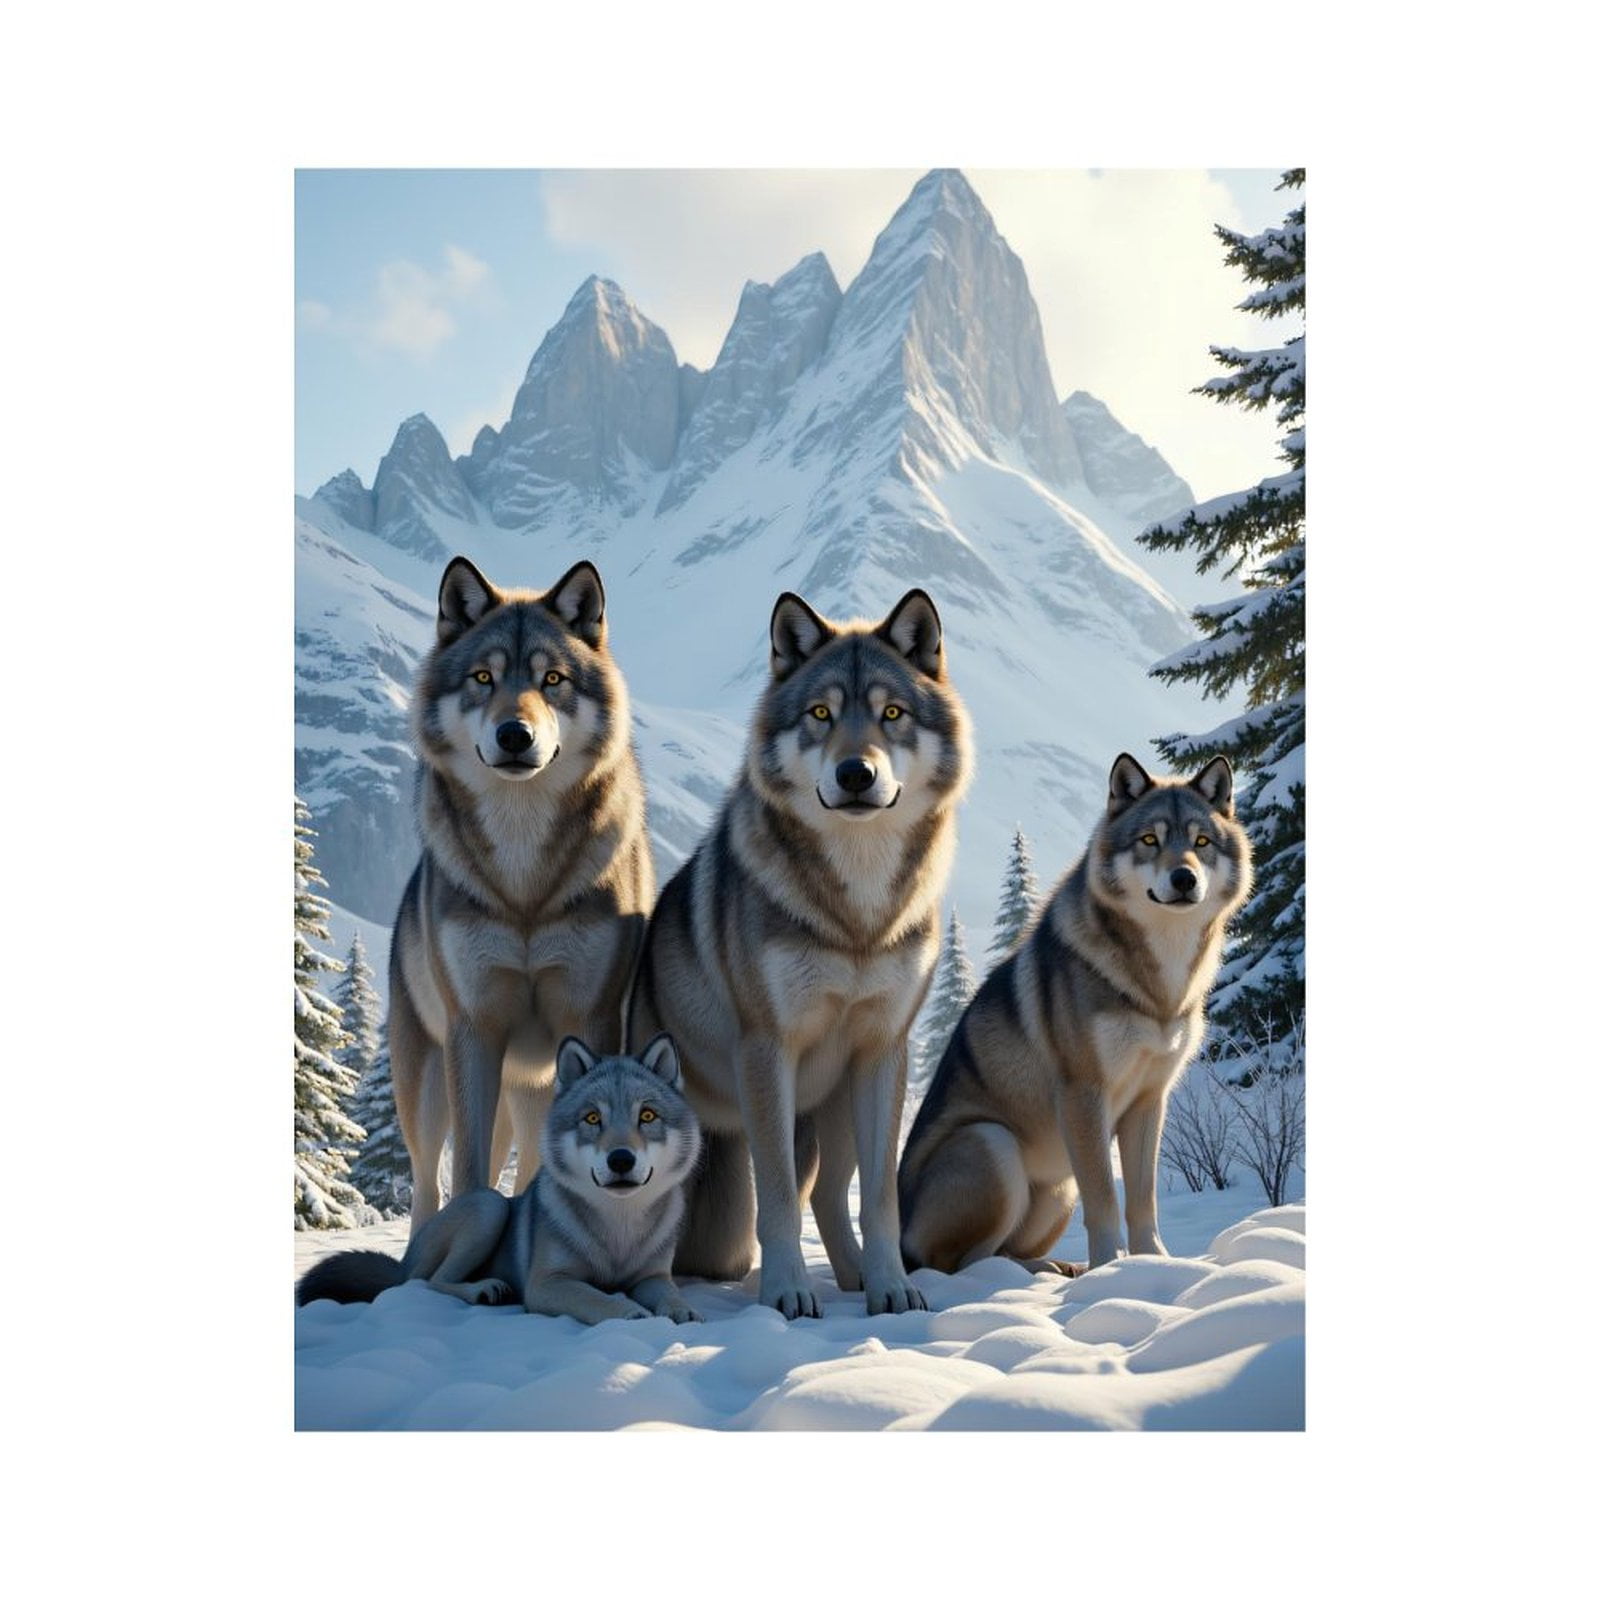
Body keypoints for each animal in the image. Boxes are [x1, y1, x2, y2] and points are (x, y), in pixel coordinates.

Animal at [296, 1035, 703, 1324]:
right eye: (592, 1118)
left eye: (647, 1116)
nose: (620, 1159)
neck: (619, 1230)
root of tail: (402, 1263)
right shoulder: (547, 1283)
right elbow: (597, 1298)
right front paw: (630, 1313)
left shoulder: (652, 1277)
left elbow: (670, 1293)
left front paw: (682, 1310)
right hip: (488, 1208)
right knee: (429, 1281)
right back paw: (484, 1290)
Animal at [389, 555, 654, 1234]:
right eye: (483, 678)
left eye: (551, 679)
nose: (515, 733)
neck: (523, 882)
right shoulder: (474, 1028)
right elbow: (467, 1171)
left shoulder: (589, 1017)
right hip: (427, 1089)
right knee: (428, 1183)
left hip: (532, 1086)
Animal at [626, 588, 971, 1318]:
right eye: (820, 714)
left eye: (891, 714)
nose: (855, 773)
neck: (857, 918)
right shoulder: (767, 1050)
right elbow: (780, 1196)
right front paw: (785, 1291)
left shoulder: (883, 1050)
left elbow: (880, 1199)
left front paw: (893, 1287)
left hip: (834, 1107)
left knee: (831, 1195)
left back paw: (857, 1278)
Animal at [899, 752, 1253, 1275]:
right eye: (1150, 840)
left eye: (1201, 842)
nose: (1184, 878)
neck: (1158, 985)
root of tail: (900, 1235)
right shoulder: (1083, 1094)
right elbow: (1105, 1198)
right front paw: (1108, 1267)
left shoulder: (1150, 1100)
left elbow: (1142, 1201)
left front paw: (1154, 1264)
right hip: (994, 1144)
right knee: (966, 1263)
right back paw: (1045, 1272)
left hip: (1058, 1190)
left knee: (999, 1250)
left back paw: (1058, 1267)